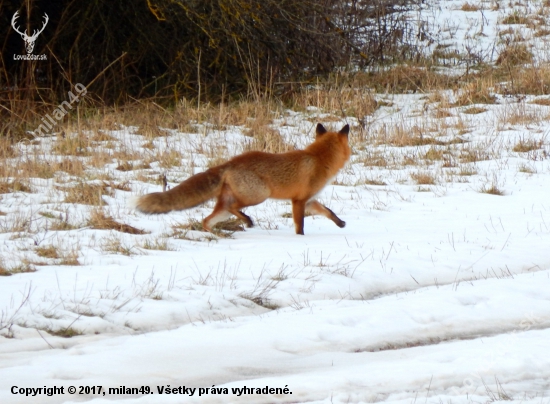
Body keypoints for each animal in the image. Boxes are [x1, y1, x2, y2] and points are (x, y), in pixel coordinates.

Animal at [132, 124, 352, 237]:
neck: (318, 159)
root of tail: (231, 162)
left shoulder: (310, 200)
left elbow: (328, 211)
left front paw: (340, 223)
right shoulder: (298, 201)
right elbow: (300, 226)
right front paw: (300, 239)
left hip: (226, 205)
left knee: (207, 220)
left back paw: (218, 236)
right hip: (259, 195)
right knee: (233, 208)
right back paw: (247, 220)